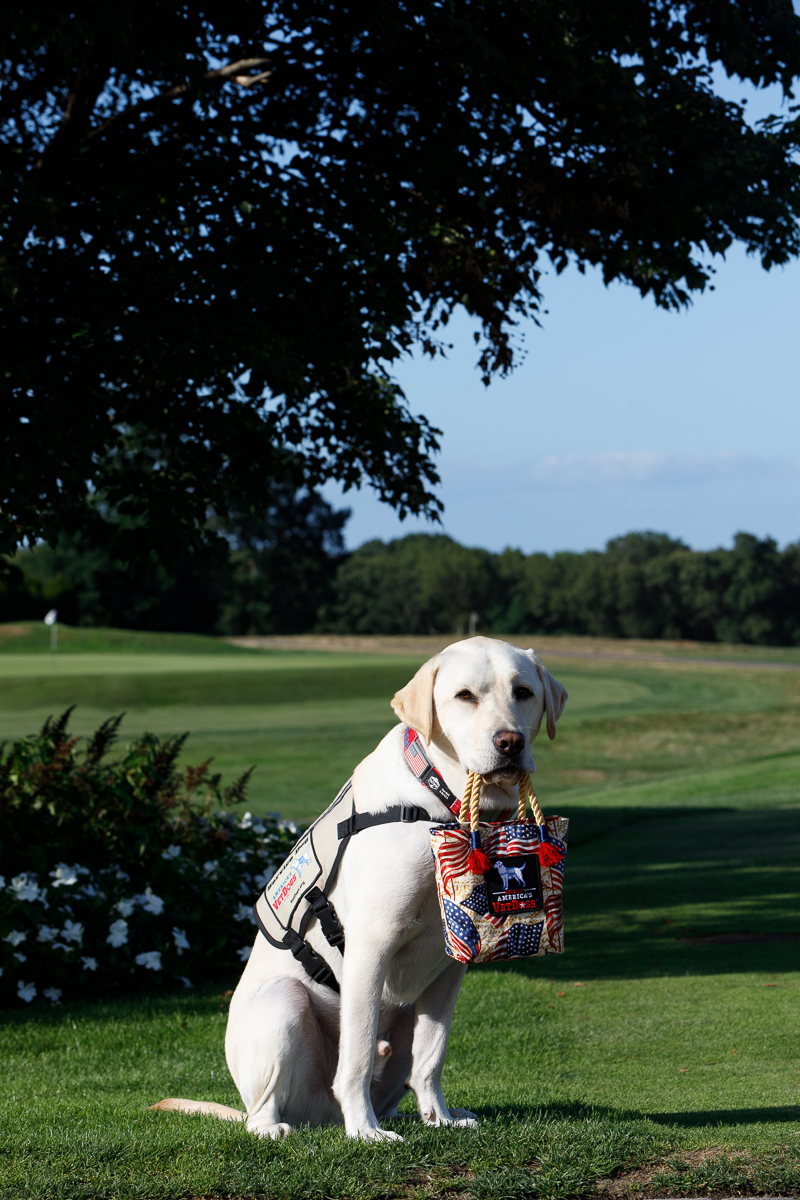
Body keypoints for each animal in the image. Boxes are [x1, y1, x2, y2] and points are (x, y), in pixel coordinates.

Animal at [154, 633, 568, 1137]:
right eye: (465, 696)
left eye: (523, 692)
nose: (510, 742)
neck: (440, 804)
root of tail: (320, 1120)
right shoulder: (371, 943)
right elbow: (356, 1054)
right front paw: (366, 1132)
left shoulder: (452, 964)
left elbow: (432, 1054)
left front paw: (441, 1117)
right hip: (283, 1003)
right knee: (267, 1106)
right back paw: (284, 1126)